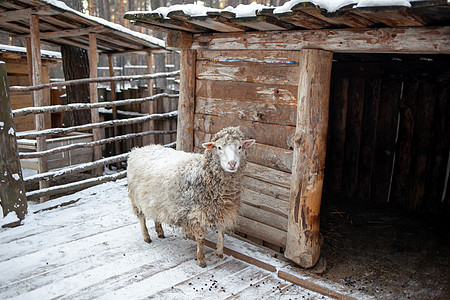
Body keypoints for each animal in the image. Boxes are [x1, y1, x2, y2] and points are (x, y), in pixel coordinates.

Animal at [126, 126, 255, 268]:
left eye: (240, 147)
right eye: (219, 147)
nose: (232, 164)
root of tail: (139, 149)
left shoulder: (224, 210)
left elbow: (222, 232)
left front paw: (219, 252)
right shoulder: (196, 214)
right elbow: (200, 238)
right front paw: (201, 259)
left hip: (155, 199)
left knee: (156, 214)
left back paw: (160, 232)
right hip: (135, 197)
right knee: (141, 217)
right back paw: (146, 237)